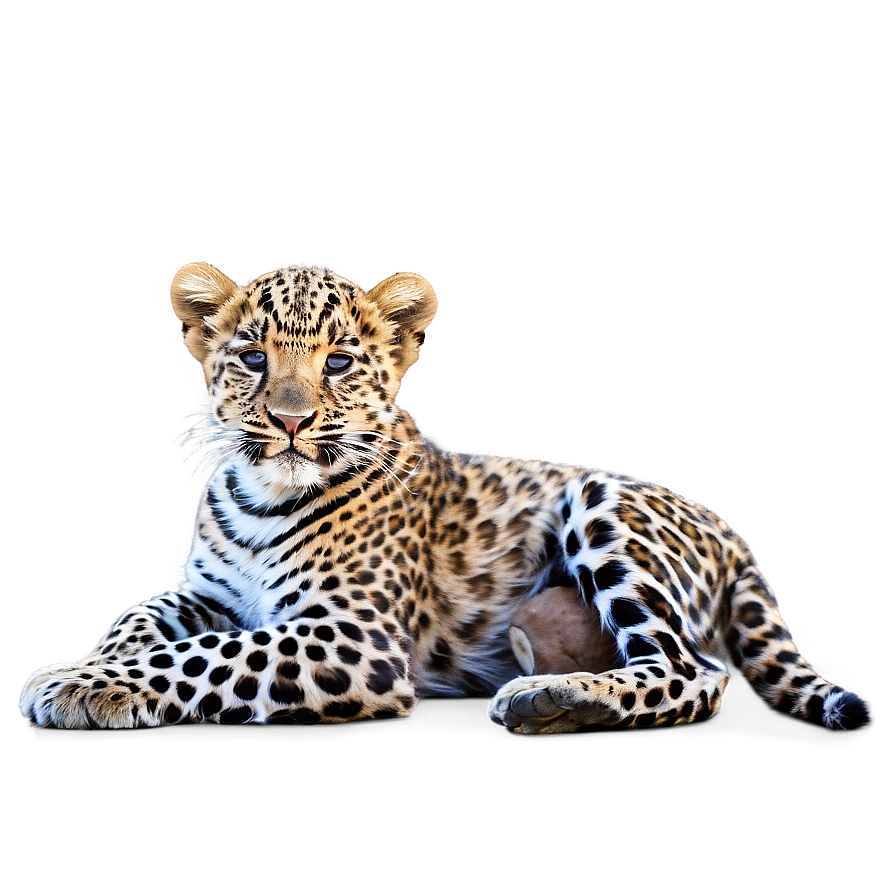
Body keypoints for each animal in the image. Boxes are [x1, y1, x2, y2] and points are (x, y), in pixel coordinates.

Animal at [19, 261, 871, 733]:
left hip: (600, 499)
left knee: (693, 671)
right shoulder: (212, 594)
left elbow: (206, 657)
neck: (263, 494)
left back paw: (557, 702)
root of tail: (725, 523)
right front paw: (97, 661)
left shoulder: (353, 638)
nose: (290, 421)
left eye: (338, 364)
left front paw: (73, 682)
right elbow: (145, 618)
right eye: (253, 358)